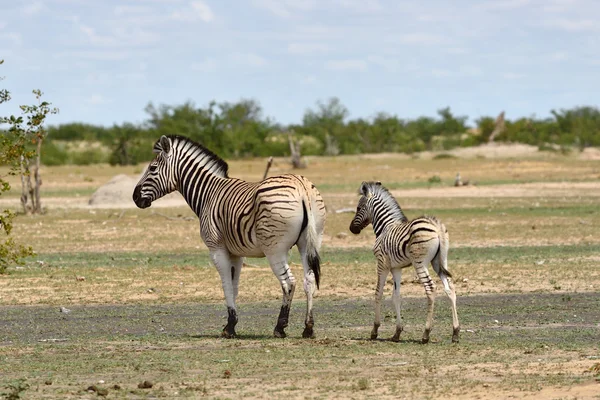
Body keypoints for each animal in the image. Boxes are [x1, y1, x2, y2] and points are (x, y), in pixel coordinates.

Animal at [133, 136, 326, 340]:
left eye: (152, 168)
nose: (135, 197)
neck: (208, 193)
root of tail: (301, 187)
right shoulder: (236, 253)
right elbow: (234, 286)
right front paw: (232, 323)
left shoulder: (216, 248)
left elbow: (225, 285)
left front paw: (229, 326)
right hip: (309, 243)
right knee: (309, 280)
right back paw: (308, 328)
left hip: (275, 249)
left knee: (288, 282)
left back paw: (280, 327)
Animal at [346, 181, 460, 344]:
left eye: (358, 208)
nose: (352, 229)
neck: (385, 227)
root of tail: (436, 226)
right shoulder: (396, 268)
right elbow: (396, 296)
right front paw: (397, 332)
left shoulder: (382, 264)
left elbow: (378, 293)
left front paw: (375, 330)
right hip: (439, 262)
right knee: (450, 288)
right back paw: (455, 332)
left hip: (420, 262)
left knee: (431, 289)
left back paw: (426, 333)